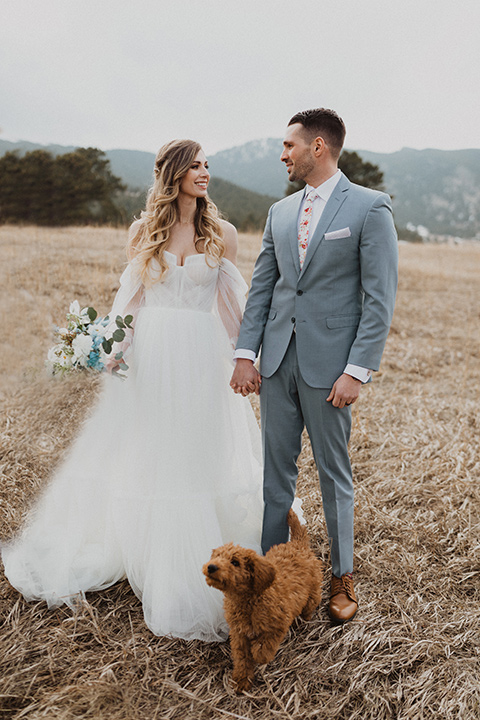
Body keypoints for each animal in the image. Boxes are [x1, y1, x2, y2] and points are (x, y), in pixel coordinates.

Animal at [202, 506, 322, 692]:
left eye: (235, 562)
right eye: (215, 556)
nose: (211, 567)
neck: (248, 601)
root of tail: (298, 544)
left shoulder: (278, 624)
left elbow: (264, 646)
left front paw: (259, 655)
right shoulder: (239, 634)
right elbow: (242, 658)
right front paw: (242, 680)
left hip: (313, 590)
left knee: (311, 604)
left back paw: (303, 619)